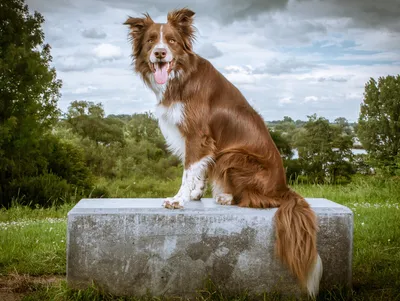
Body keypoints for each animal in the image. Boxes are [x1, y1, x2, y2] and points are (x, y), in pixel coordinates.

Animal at [124, 8, 322, 296]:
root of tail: (284, 189)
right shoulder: (203, 142)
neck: (180, 76)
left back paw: (228, 197)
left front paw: (178, 200)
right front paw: (196, 194)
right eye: (151, 40)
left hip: (234, 156)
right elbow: (199, 169)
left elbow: (188, 170)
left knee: (258, 199)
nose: (160, 53)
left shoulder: (198, 135)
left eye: (171, 41)